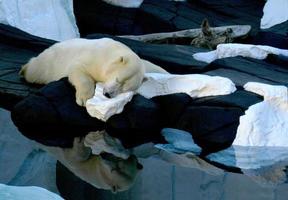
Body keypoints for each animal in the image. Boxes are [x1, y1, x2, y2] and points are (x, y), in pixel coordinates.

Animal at [20, 37, 168, 106]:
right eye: (117, 79)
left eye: (125, 89)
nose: (108, 94)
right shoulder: (94, 58)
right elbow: (78, 69)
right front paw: (84, 99)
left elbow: (150, 65)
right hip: (48, 63)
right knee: (35, 70)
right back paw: (24, 69)